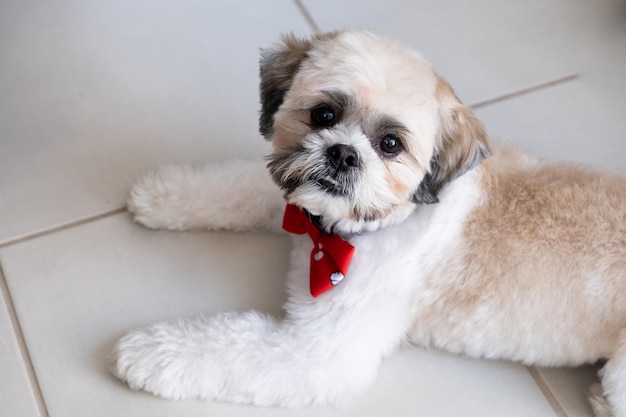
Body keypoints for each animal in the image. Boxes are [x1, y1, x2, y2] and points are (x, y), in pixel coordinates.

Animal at [112, 30, 624, 416]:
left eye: (390, 144)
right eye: (323, 114)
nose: (343, 152)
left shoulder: (317, 355)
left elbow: (226, 346)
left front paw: (148, 352)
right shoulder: (298, 202)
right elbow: (235, 187)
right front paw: (166, 194)